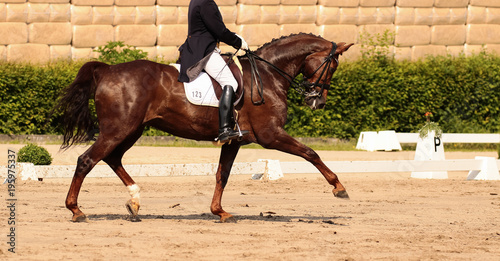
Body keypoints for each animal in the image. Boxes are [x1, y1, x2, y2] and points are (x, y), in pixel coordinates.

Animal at [56, 33, 354, 221]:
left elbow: (222, 175)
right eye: (332, 66)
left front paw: (219, 212)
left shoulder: (234, 140)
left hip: (132, 130)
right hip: (119, 129)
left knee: (112, 158)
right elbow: (311, 153)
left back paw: (134, 201)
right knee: (87, 160)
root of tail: (107, 70)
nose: (318, 101)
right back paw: (76, 211)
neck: (268, 75)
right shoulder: (271, 136)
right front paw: (339, 188)